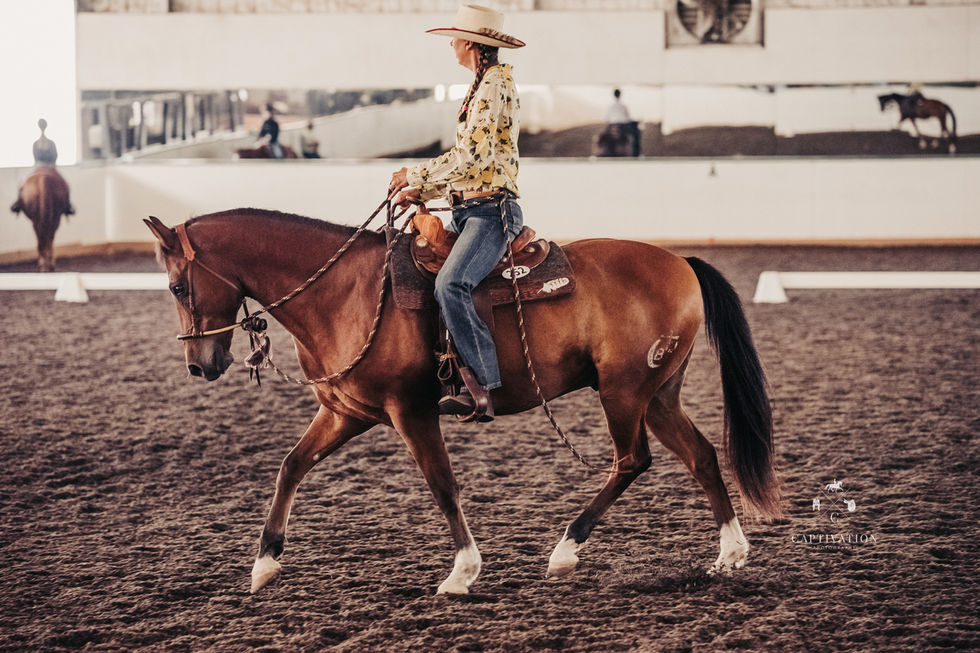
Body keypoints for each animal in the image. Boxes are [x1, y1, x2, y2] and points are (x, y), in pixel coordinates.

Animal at [144, 207, 782, 595]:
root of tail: (681, 263)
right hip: (658, 394)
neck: (344, 294)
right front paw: (264, 564)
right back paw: (731, 553)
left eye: (177, 285)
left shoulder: (411, 411)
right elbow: (290, 466)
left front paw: (463, 572)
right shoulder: (345, 411)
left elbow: (442, 485)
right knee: (700, 456)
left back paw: (565, 550)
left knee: (633, 461)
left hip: (623, 392)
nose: (200, 364)